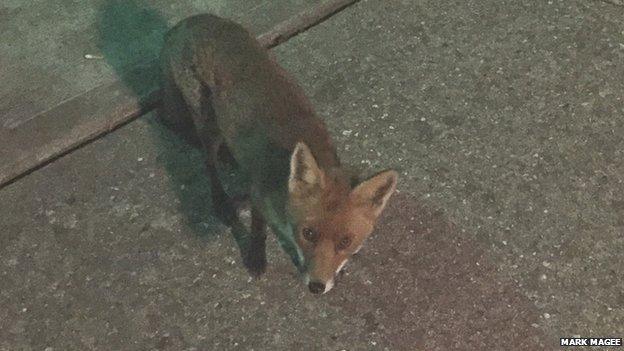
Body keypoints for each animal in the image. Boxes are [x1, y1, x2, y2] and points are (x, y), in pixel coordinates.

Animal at [158, 13, 398, 294]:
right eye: (309, 233)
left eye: (345, 242)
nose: (317, 287)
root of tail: (189, 21)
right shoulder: (258, 195)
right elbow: (258, 229)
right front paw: (256, 257)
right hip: (208, 120)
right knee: (202, 153)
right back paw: (222, 198)